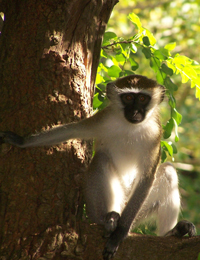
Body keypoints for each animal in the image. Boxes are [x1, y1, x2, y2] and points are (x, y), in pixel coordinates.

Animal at [0, 75, 195, 260]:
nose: (135, 112)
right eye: (128, 97)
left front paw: (120, 233)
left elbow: (147, 177)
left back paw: (171, 232)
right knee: (100, 160)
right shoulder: (104, 118)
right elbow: (71, 130)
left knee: (168, 172)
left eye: (142, 99)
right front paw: (21, 141)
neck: (129, 127)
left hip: (133, 207)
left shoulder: (155, 135)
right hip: (111, 201)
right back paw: (108, 219)